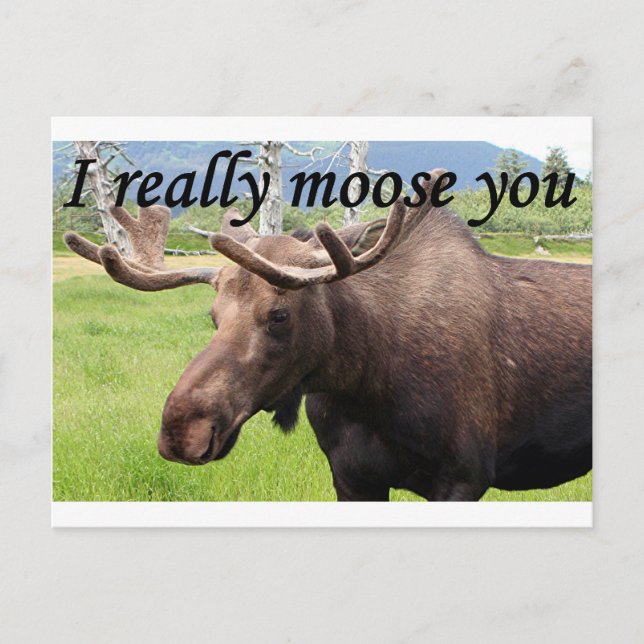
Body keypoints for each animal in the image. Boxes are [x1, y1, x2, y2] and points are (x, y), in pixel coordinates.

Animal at [64, 170, 592, 501]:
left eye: (279, 315)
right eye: (213, 316)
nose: (181, 431)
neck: (367, 382)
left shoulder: (464, 476)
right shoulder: (351, 478)